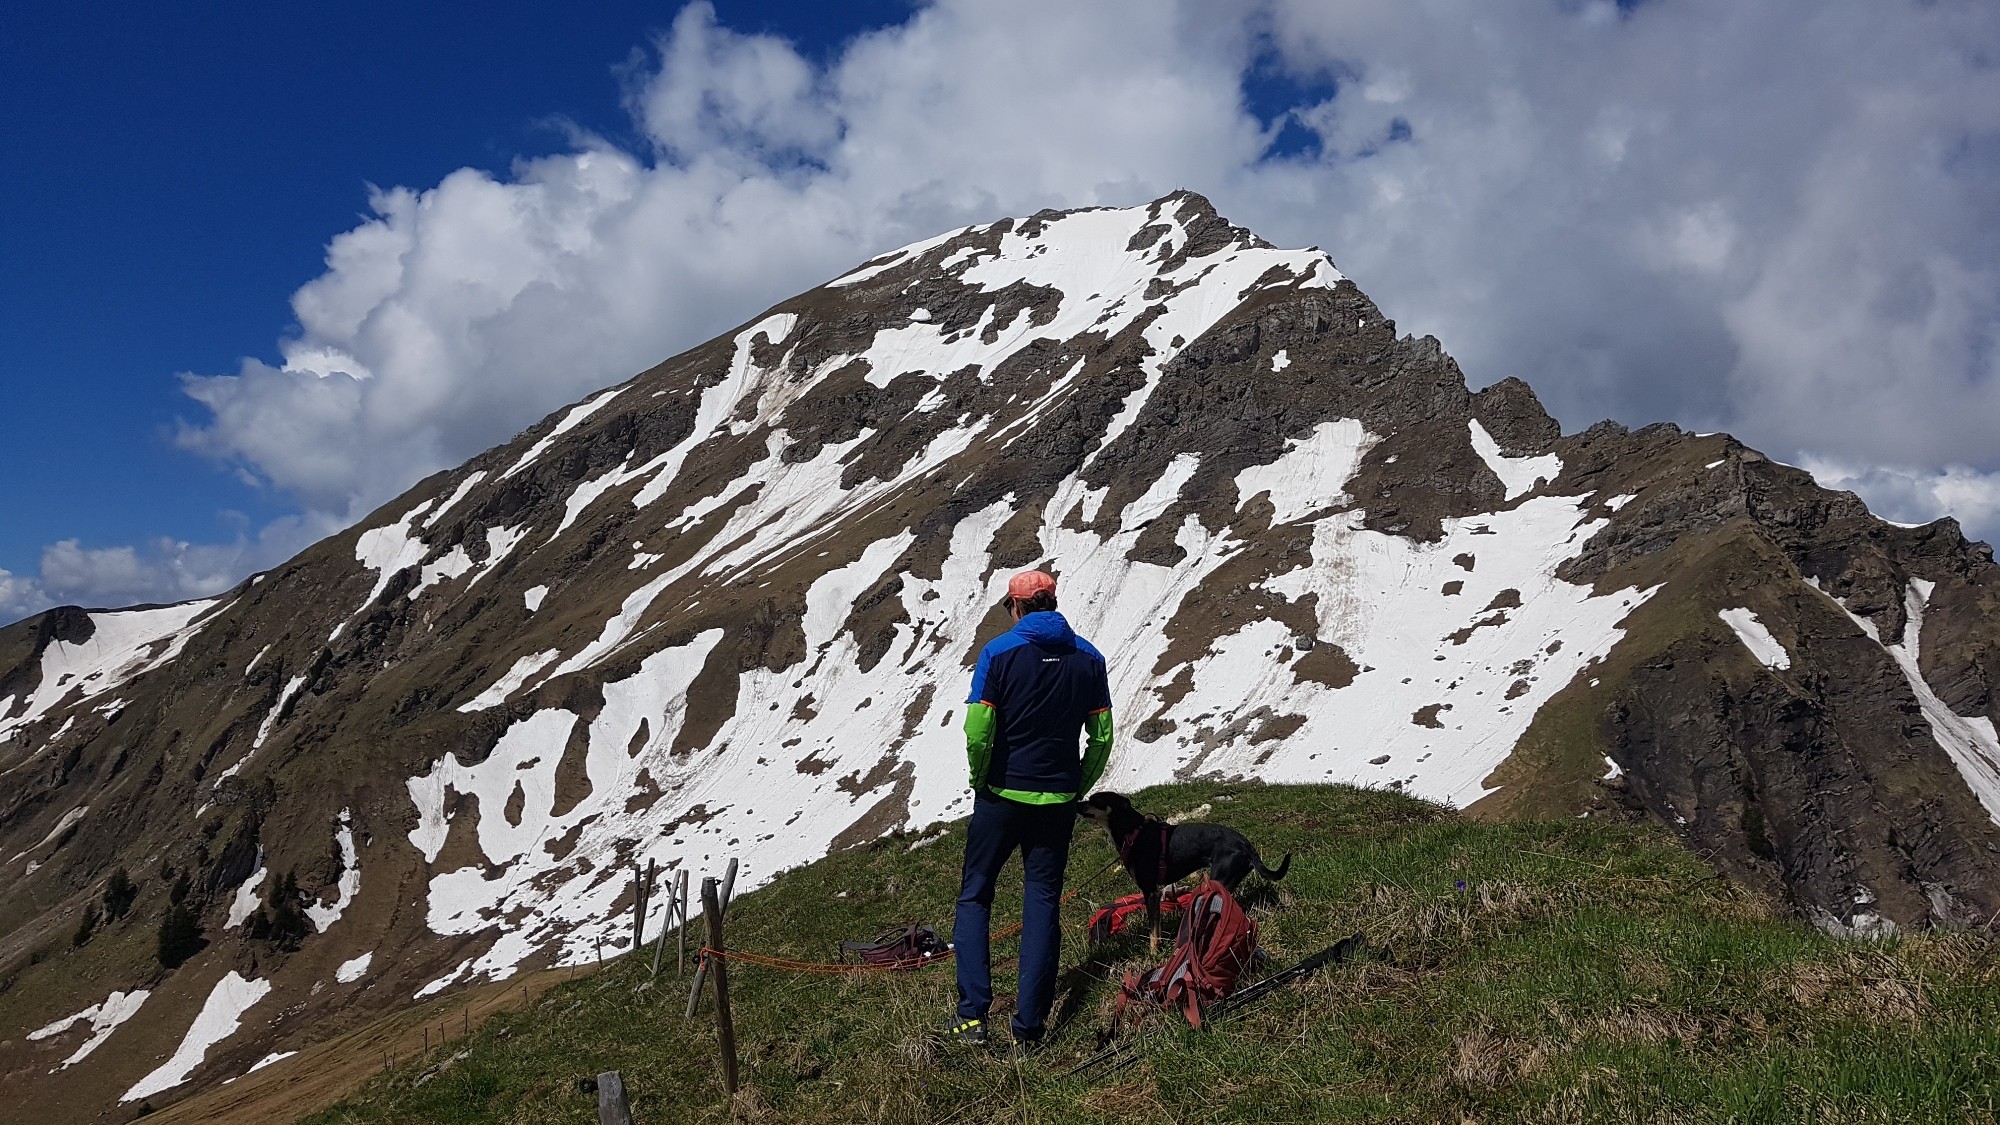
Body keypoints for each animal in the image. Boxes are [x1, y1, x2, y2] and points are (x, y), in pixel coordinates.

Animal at [1088, 788, 1288, 944]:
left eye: (1096, 800)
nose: (1080, 804)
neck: (1133, 833)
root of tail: (1245, 844)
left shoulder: (1150, 892)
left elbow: (1153, 932)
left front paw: (1154, 954)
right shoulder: (1156, 894)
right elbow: (1156, 928)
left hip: (1219, 880)